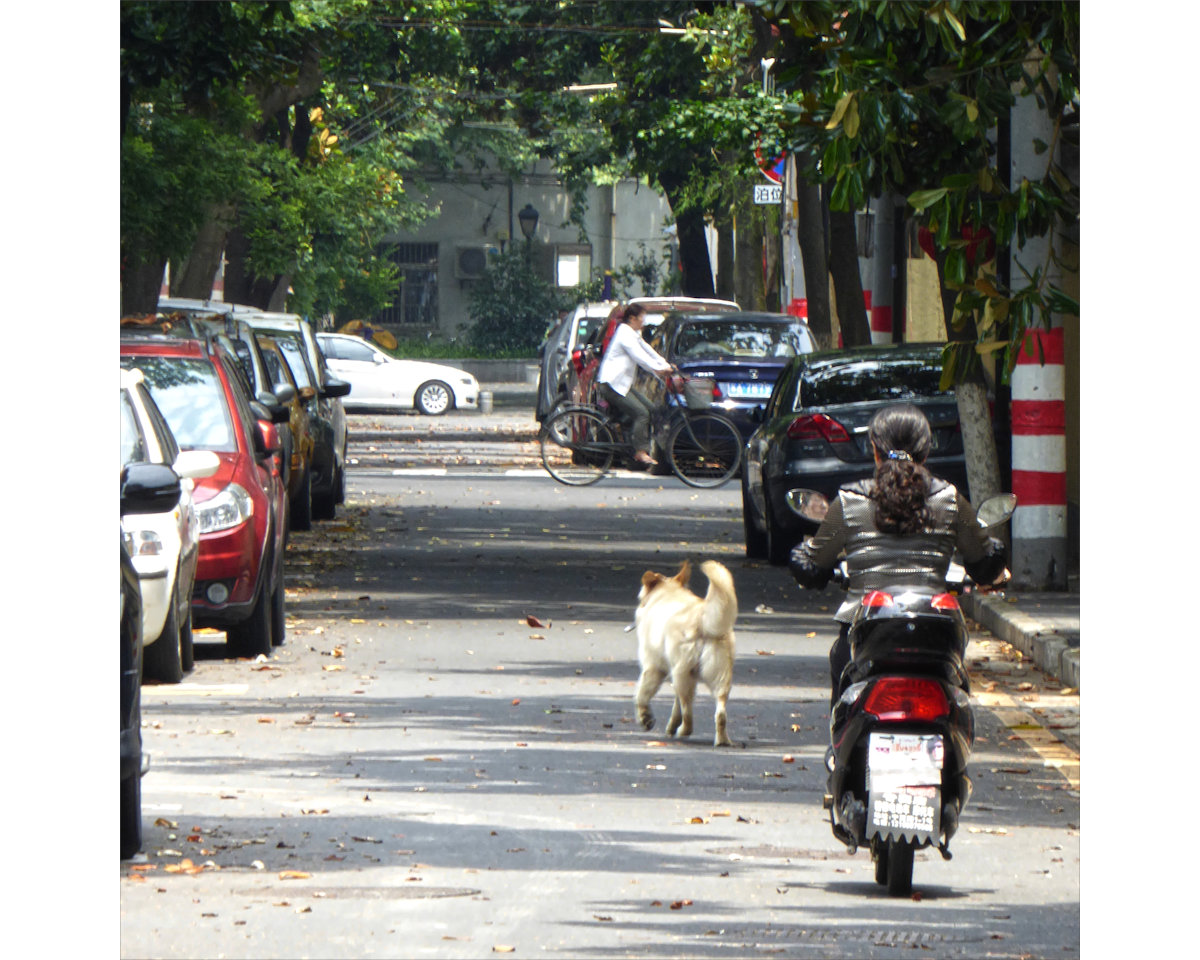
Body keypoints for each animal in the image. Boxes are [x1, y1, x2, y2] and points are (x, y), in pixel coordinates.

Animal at [633, 559, 734, 744]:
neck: (667, 593)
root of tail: (703, 620)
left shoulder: (653, 668)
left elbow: (641, 695)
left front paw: (645, 718)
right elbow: (676, 705)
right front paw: (671, 724)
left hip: (683, 674)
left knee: (688, 714)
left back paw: (683, 731)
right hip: (719, 676)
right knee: (720, 712)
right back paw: (722, 740)